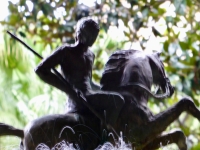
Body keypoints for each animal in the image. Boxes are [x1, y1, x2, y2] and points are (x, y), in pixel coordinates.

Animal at [0, 49, 200, 149]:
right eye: (162, 66)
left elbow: (177, 133)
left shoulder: (143, 143)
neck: (133, 95)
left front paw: (183, 144)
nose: (170, 87)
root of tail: (23, 130)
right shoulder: (142, 132)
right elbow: (185, 103)